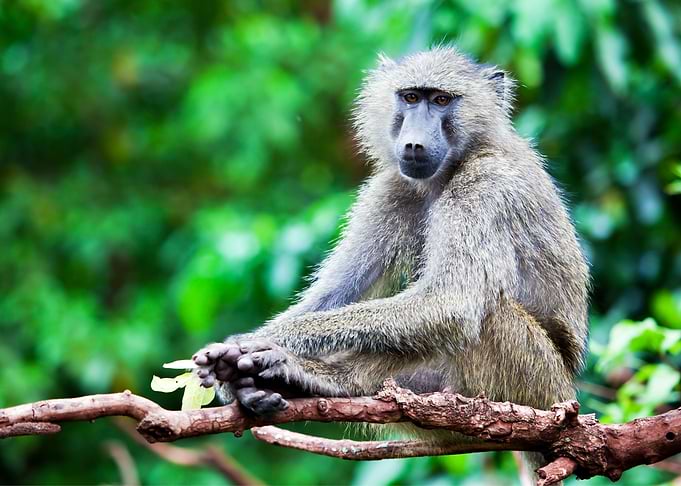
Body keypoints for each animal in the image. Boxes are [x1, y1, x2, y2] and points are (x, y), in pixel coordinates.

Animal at [192, 46, 589, 472]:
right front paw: (234, 366)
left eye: (442, 100)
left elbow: (449, 303)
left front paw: (255, 343)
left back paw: (314, 376)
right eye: (411, 97)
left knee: (486, 314)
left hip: (536, 388)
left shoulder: (487, 186)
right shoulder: (391, 188)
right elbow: (333, 296)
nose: (414, 144)